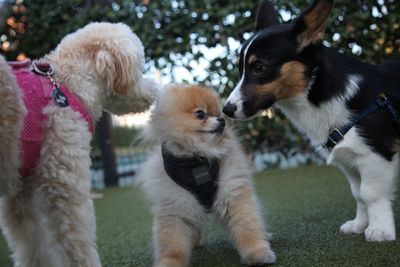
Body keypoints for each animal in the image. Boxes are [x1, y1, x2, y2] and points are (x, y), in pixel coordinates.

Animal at [0, 22, 158, 266]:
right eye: (140, 69)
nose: (156, 89)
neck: (67, 85)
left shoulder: (19, 193)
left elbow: (30, 243)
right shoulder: (64, 180)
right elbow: (76, 240)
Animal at [138, 85, 276, 266]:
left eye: (218, 114)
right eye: (200, 114)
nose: (222, 120)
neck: (197, 157)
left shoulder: (233, 193)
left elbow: (247, 226)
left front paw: (257, 253)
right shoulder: (175, 204)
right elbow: (172, 243)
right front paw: (170, 262)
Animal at [223, 0, 400, 243]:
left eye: (259, 67)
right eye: (239, 68)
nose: (226, 109)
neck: (315, 91)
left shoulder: (376, 155)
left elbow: (370, 194)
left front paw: (380, 230)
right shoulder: (349, 160)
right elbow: (358, 194)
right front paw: (358, 225)